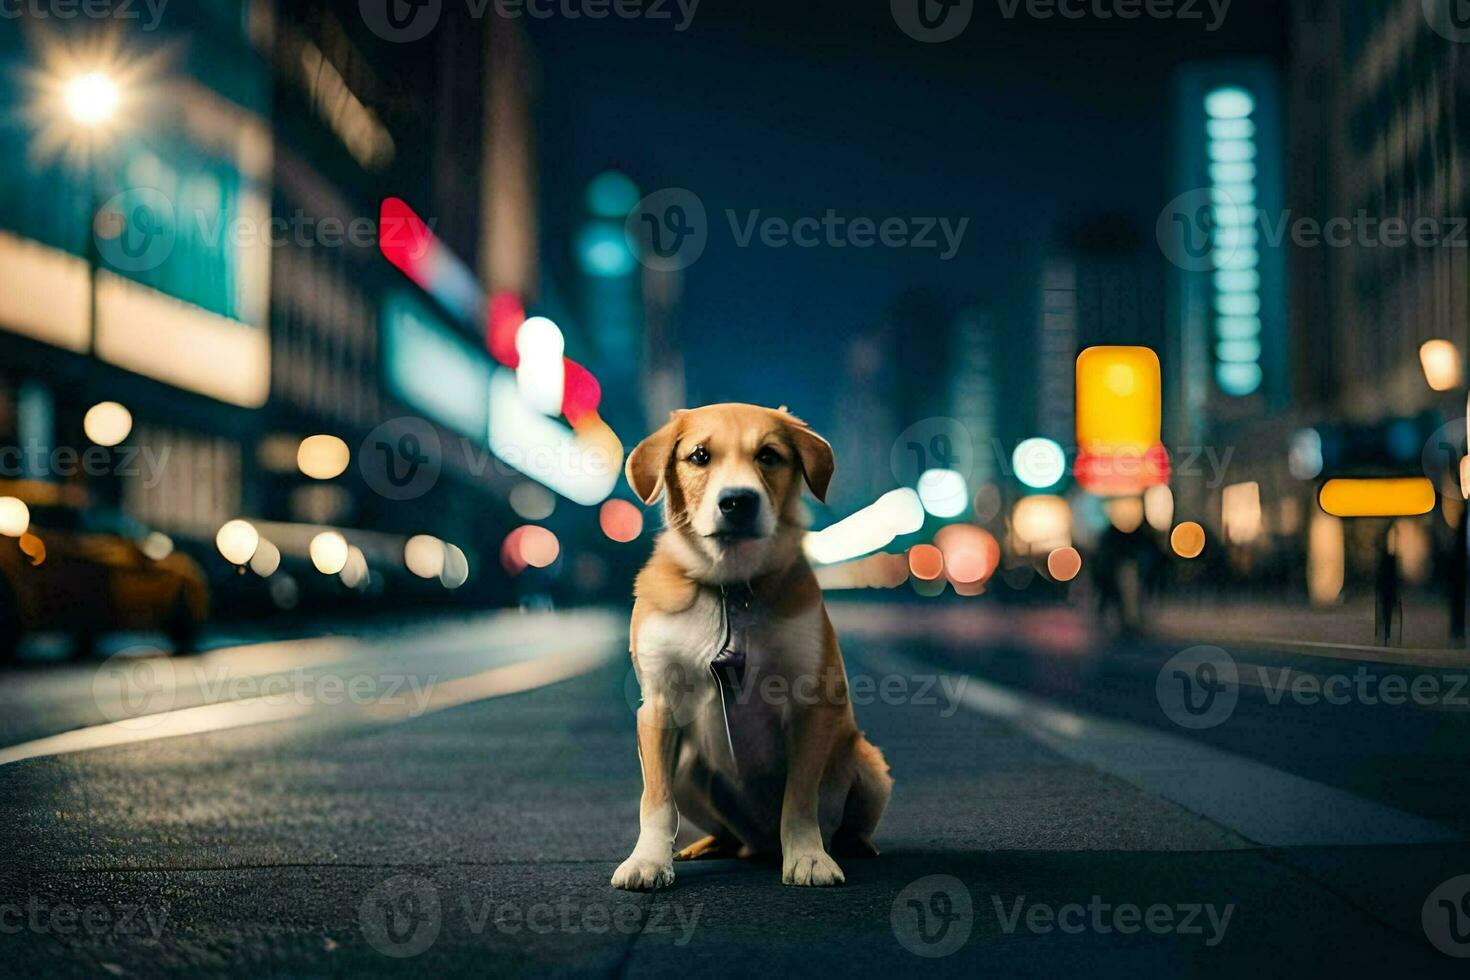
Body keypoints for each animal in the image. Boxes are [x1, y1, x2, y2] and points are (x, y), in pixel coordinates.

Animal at [611, 402, 887, 893]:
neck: (730, 588)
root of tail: (758, 844)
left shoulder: (812, 702)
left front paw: (809, 858)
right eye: (699, 456)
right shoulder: (658, 704)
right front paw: (646, 861)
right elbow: (656, 800)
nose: (737, 501)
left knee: (842, 821)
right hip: (689, 768)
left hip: (869, 765)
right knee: (719, 826)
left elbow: (800, 799)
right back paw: (707, 846)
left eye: (769, 456)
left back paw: (854, 846)